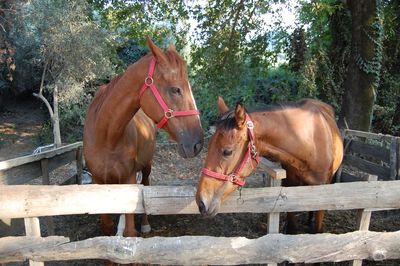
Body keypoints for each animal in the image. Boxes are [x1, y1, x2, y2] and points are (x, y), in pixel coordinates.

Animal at [83, 37, 203, 237]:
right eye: (175, 90)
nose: (197, 143)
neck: (106, 137)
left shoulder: (128, 179)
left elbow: (130, 230)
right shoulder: (98, 182)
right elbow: (106, 227)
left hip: (147, 166)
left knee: (146, 185)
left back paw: (146, 224)